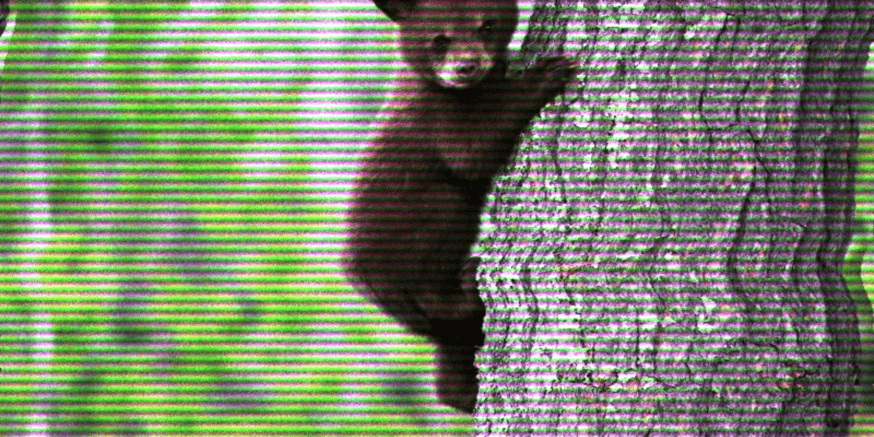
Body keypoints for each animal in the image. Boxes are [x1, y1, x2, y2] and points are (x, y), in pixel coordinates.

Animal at [348, 0, 575, 413]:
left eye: (486, 25)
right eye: (439, 39)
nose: (466, 67)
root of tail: (364, 282)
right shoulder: (438, 117)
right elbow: (472, 151)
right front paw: (544, 74)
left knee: (452, 346)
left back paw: (463, 391)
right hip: (422, 228)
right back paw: (467, 287)